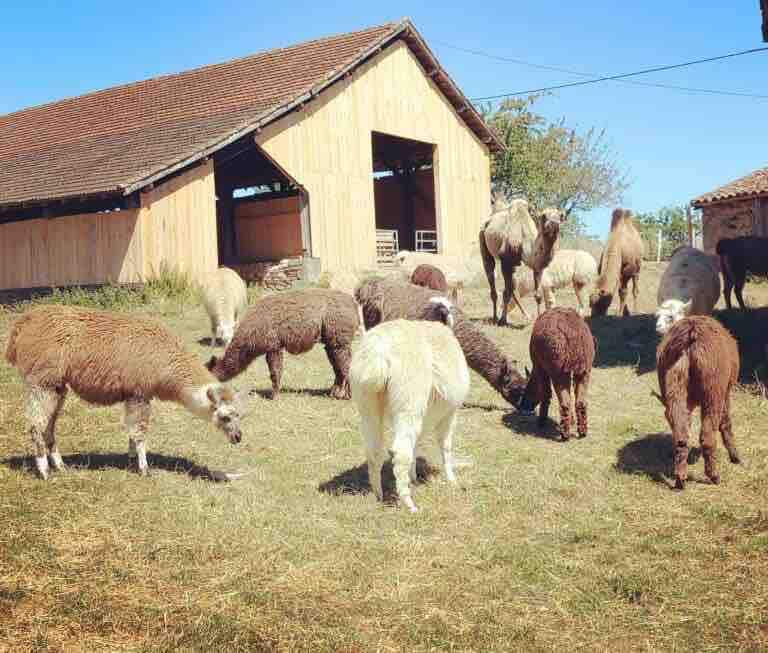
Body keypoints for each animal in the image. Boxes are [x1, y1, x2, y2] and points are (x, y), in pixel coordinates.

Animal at [480, 195, 564, 324]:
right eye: (543, 216)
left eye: (560, 216)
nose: (554, 224)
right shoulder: (505, 261)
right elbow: (507, 292)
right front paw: (502, 321)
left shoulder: (537, 266)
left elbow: (538, 295)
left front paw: (537, 318)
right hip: (483, 241)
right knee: (492, 277)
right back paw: (495, 318)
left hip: (513, 265)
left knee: (512, 287)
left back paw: (526, 315)